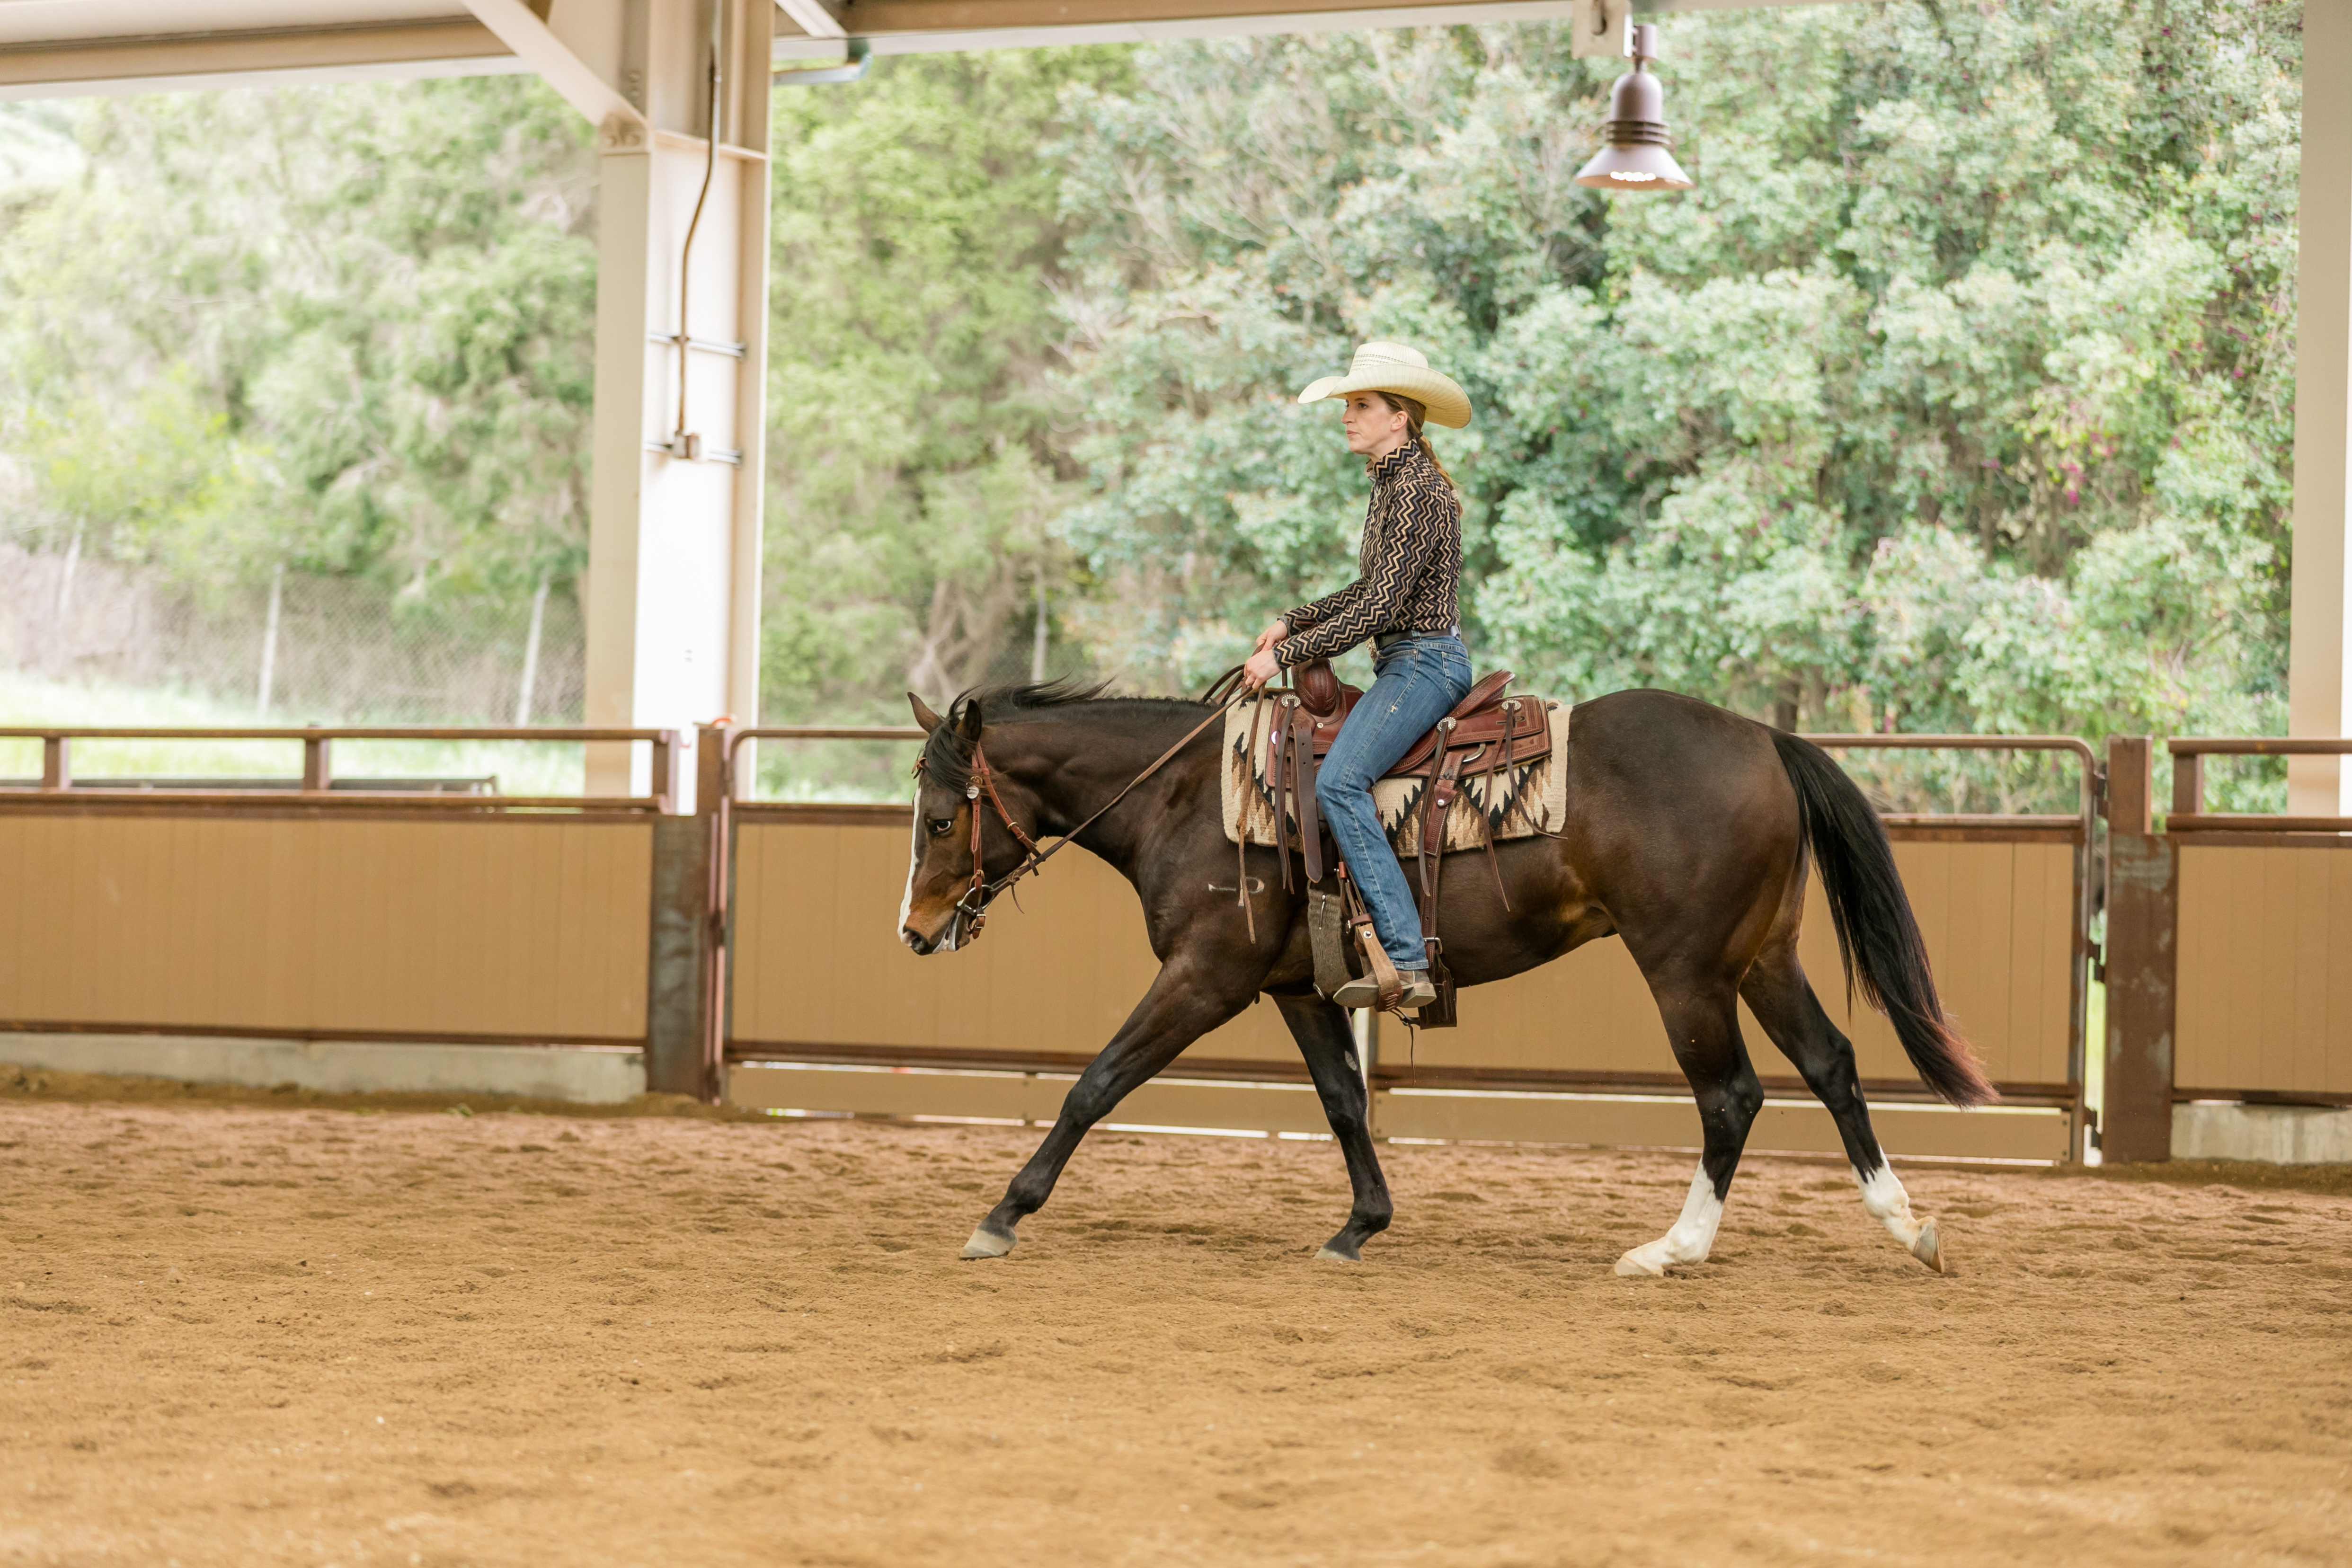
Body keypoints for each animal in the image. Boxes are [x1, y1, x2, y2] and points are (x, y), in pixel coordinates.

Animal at [897, 679, 1994, 1277]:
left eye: (943, 818)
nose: (913, 931)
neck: (1190, 794)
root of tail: (1765, 739)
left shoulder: (1205, 976)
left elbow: (1095, 1084)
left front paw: (1002, 1215)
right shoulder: (1296, 988)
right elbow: (1344, 1101)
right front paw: (1359, 1226)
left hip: (1685, 969)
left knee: (1730, 1095)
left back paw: (1670, 1250)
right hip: (1761, 957)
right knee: (1832, 1065)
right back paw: (1906, 1226)